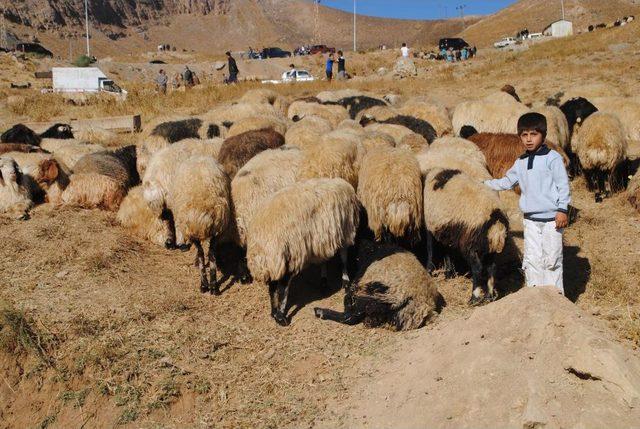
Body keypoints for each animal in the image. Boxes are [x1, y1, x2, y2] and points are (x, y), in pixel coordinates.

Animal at [246, 177, 360, 324]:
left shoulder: (321, 242)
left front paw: (327, 282)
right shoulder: (344, 233)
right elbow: (343, 260)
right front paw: (345, 281)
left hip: (278, 263)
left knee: (273, 288)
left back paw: (274, 313)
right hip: (287, 257)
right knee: (282, 288)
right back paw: (281, 316)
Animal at [422, 168, 508, 304]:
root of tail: (496, 220)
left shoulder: (430, 226)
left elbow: (430, 250)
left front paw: (429, 270)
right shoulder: (448, 230)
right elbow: (448, 252)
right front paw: (449, 273)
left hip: (470, 243)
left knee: (477, 268)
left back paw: (474, 298)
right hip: (489, 247)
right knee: (491, 267)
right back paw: (489, 296)